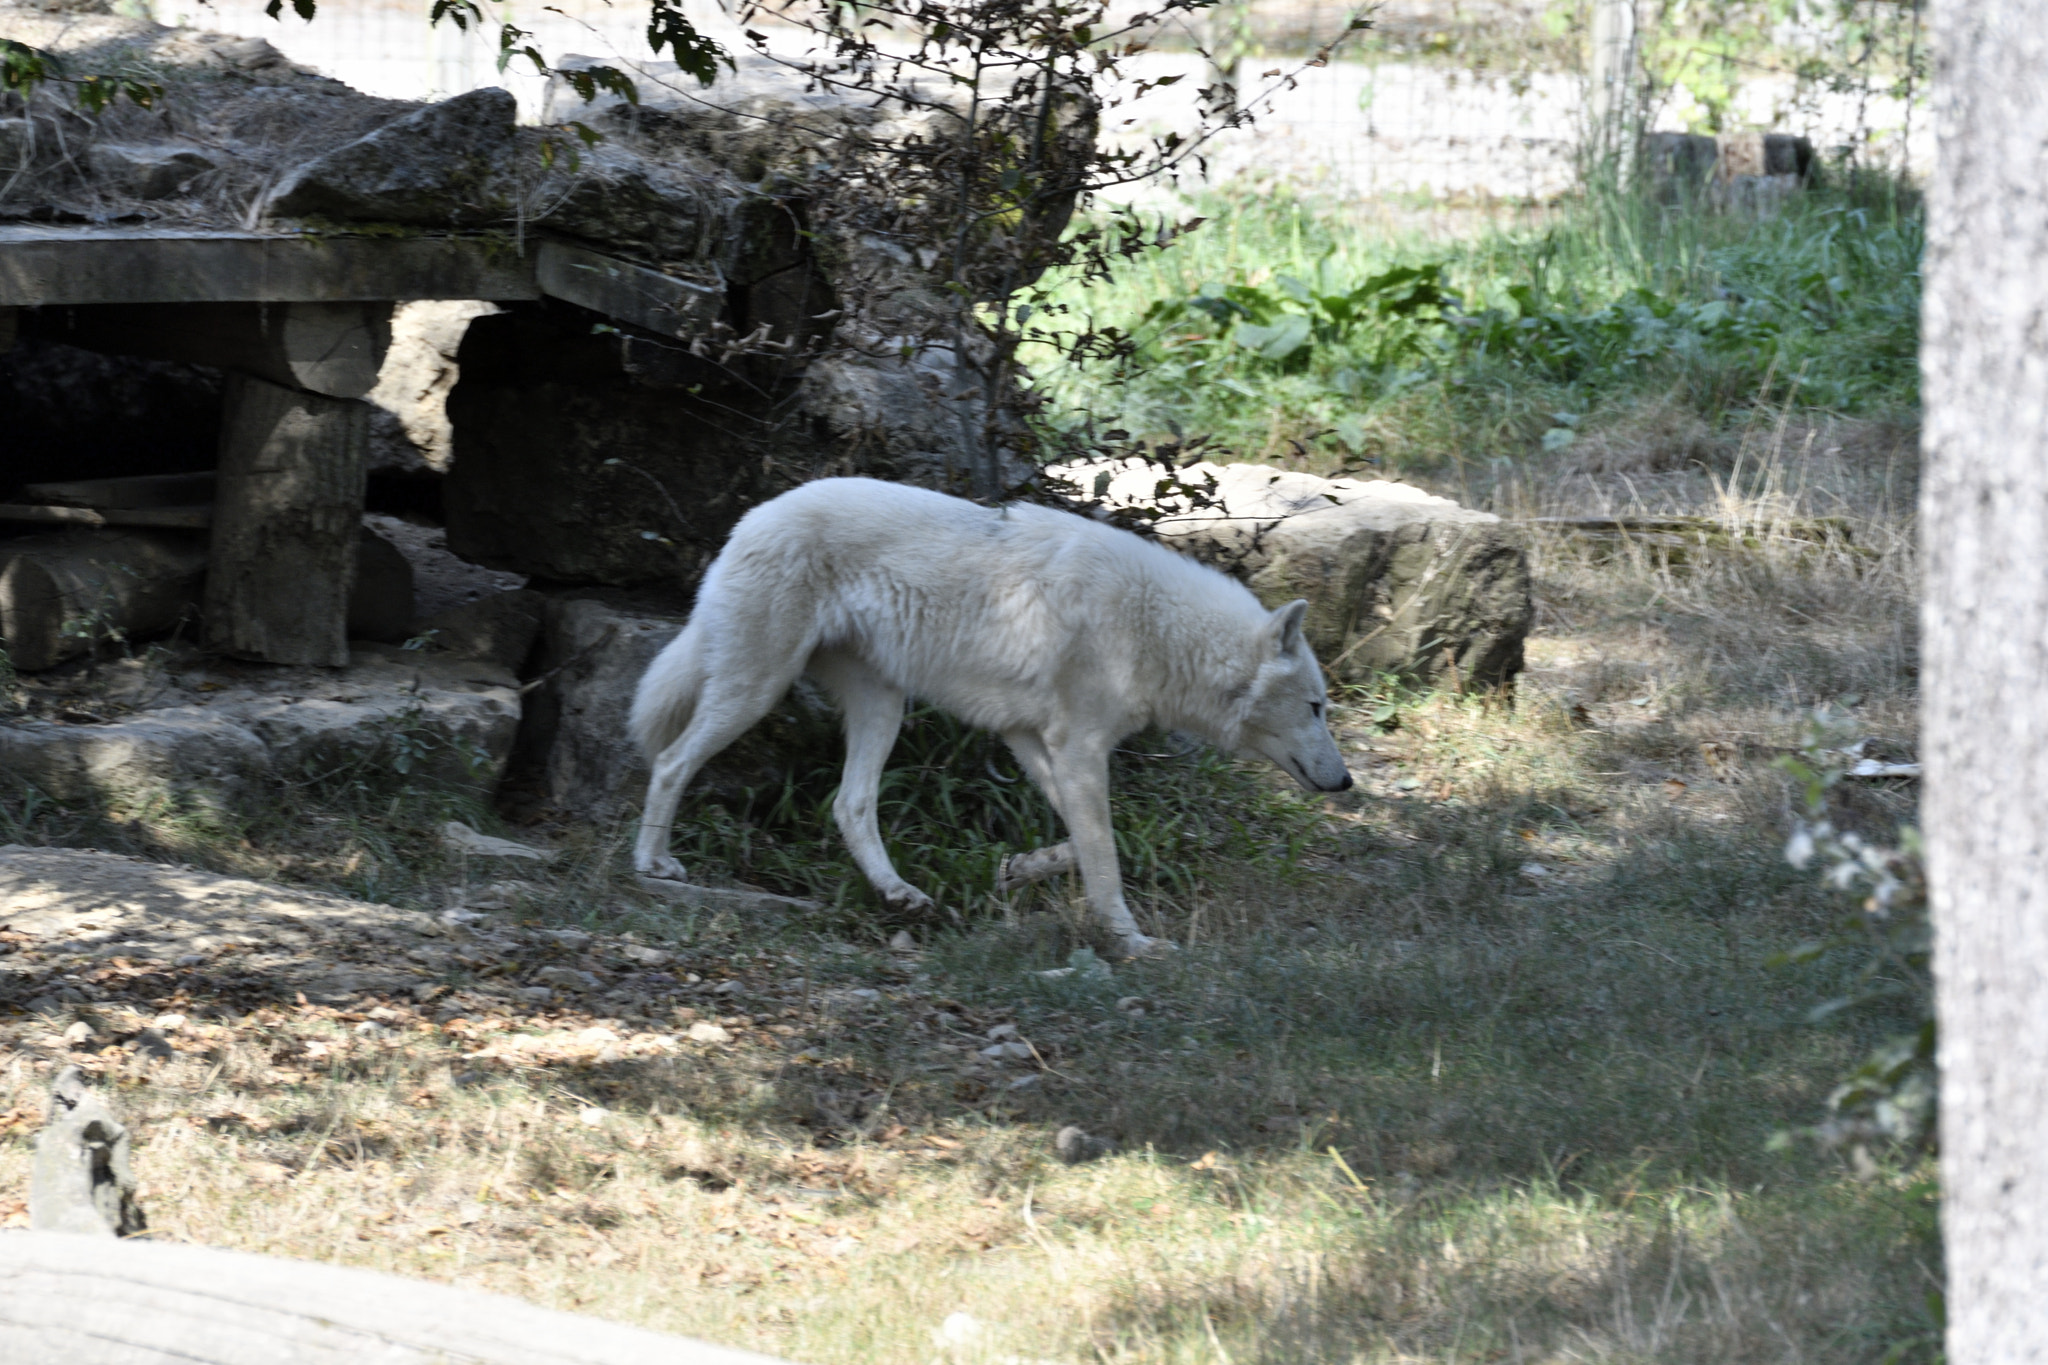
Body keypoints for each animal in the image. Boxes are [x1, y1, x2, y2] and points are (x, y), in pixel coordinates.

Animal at [629, 477, 1352, 957]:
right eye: (1316, 707)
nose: (1346, 782)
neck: (1156, 629)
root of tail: (750, 517)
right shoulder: (1078, 749)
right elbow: (1105, 852)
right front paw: (1131, 941)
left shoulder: (1031, 740)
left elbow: (1086, 841)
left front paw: (1019, 869)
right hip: (757, 690)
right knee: (669, 761)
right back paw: (651, 865)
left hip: (881, 707)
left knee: (849, 804)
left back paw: (900, 895)